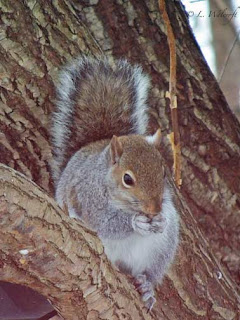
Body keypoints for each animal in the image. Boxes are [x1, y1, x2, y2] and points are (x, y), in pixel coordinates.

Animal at [50, 56, 179, 312]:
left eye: (163, 173)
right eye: (127, 179)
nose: (154, 210)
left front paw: (161, 220)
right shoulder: (88, 196)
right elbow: (106, 222)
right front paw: (135, 222)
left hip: (160, 250)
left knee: (147, 272)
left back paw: (146, 286)